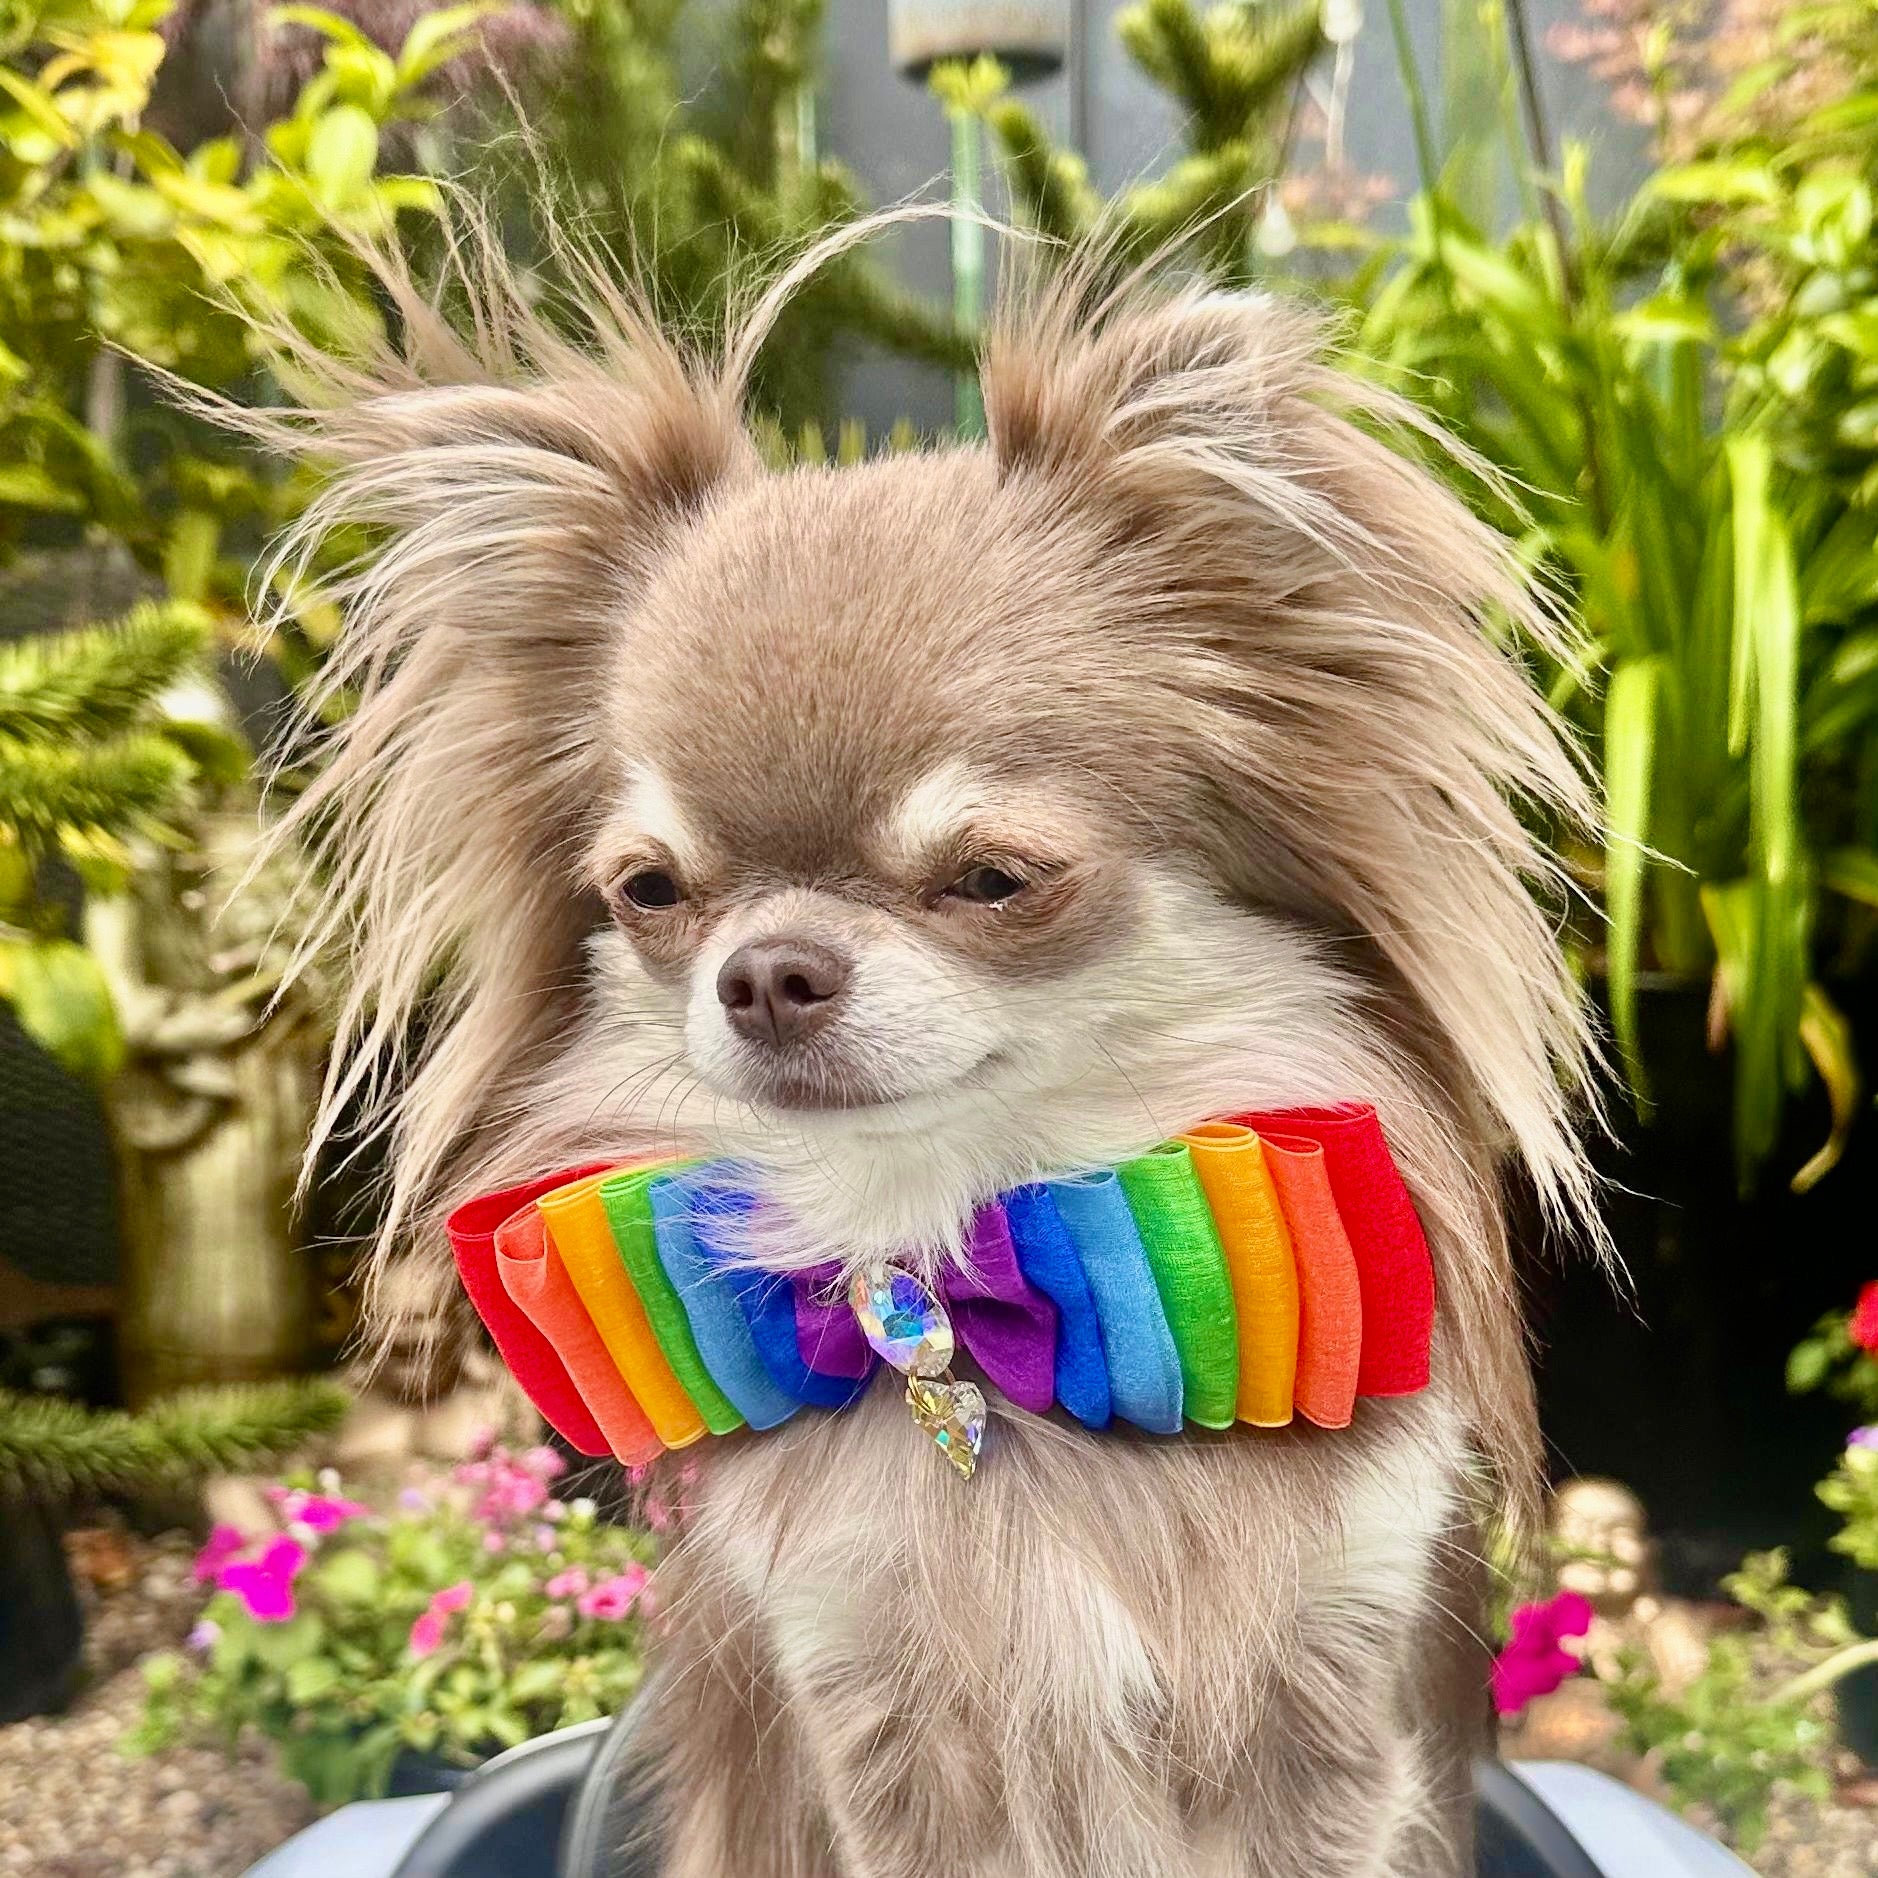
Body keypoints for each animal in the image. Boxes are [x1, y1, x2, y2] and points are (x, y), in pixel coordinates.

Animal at [257, 223, 1592, 1878]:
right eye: (650, 891)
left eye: (993, 877)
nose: (764, 970)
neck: (957, 1278)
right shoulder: (870, 1713)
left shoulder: (1332, 1706)